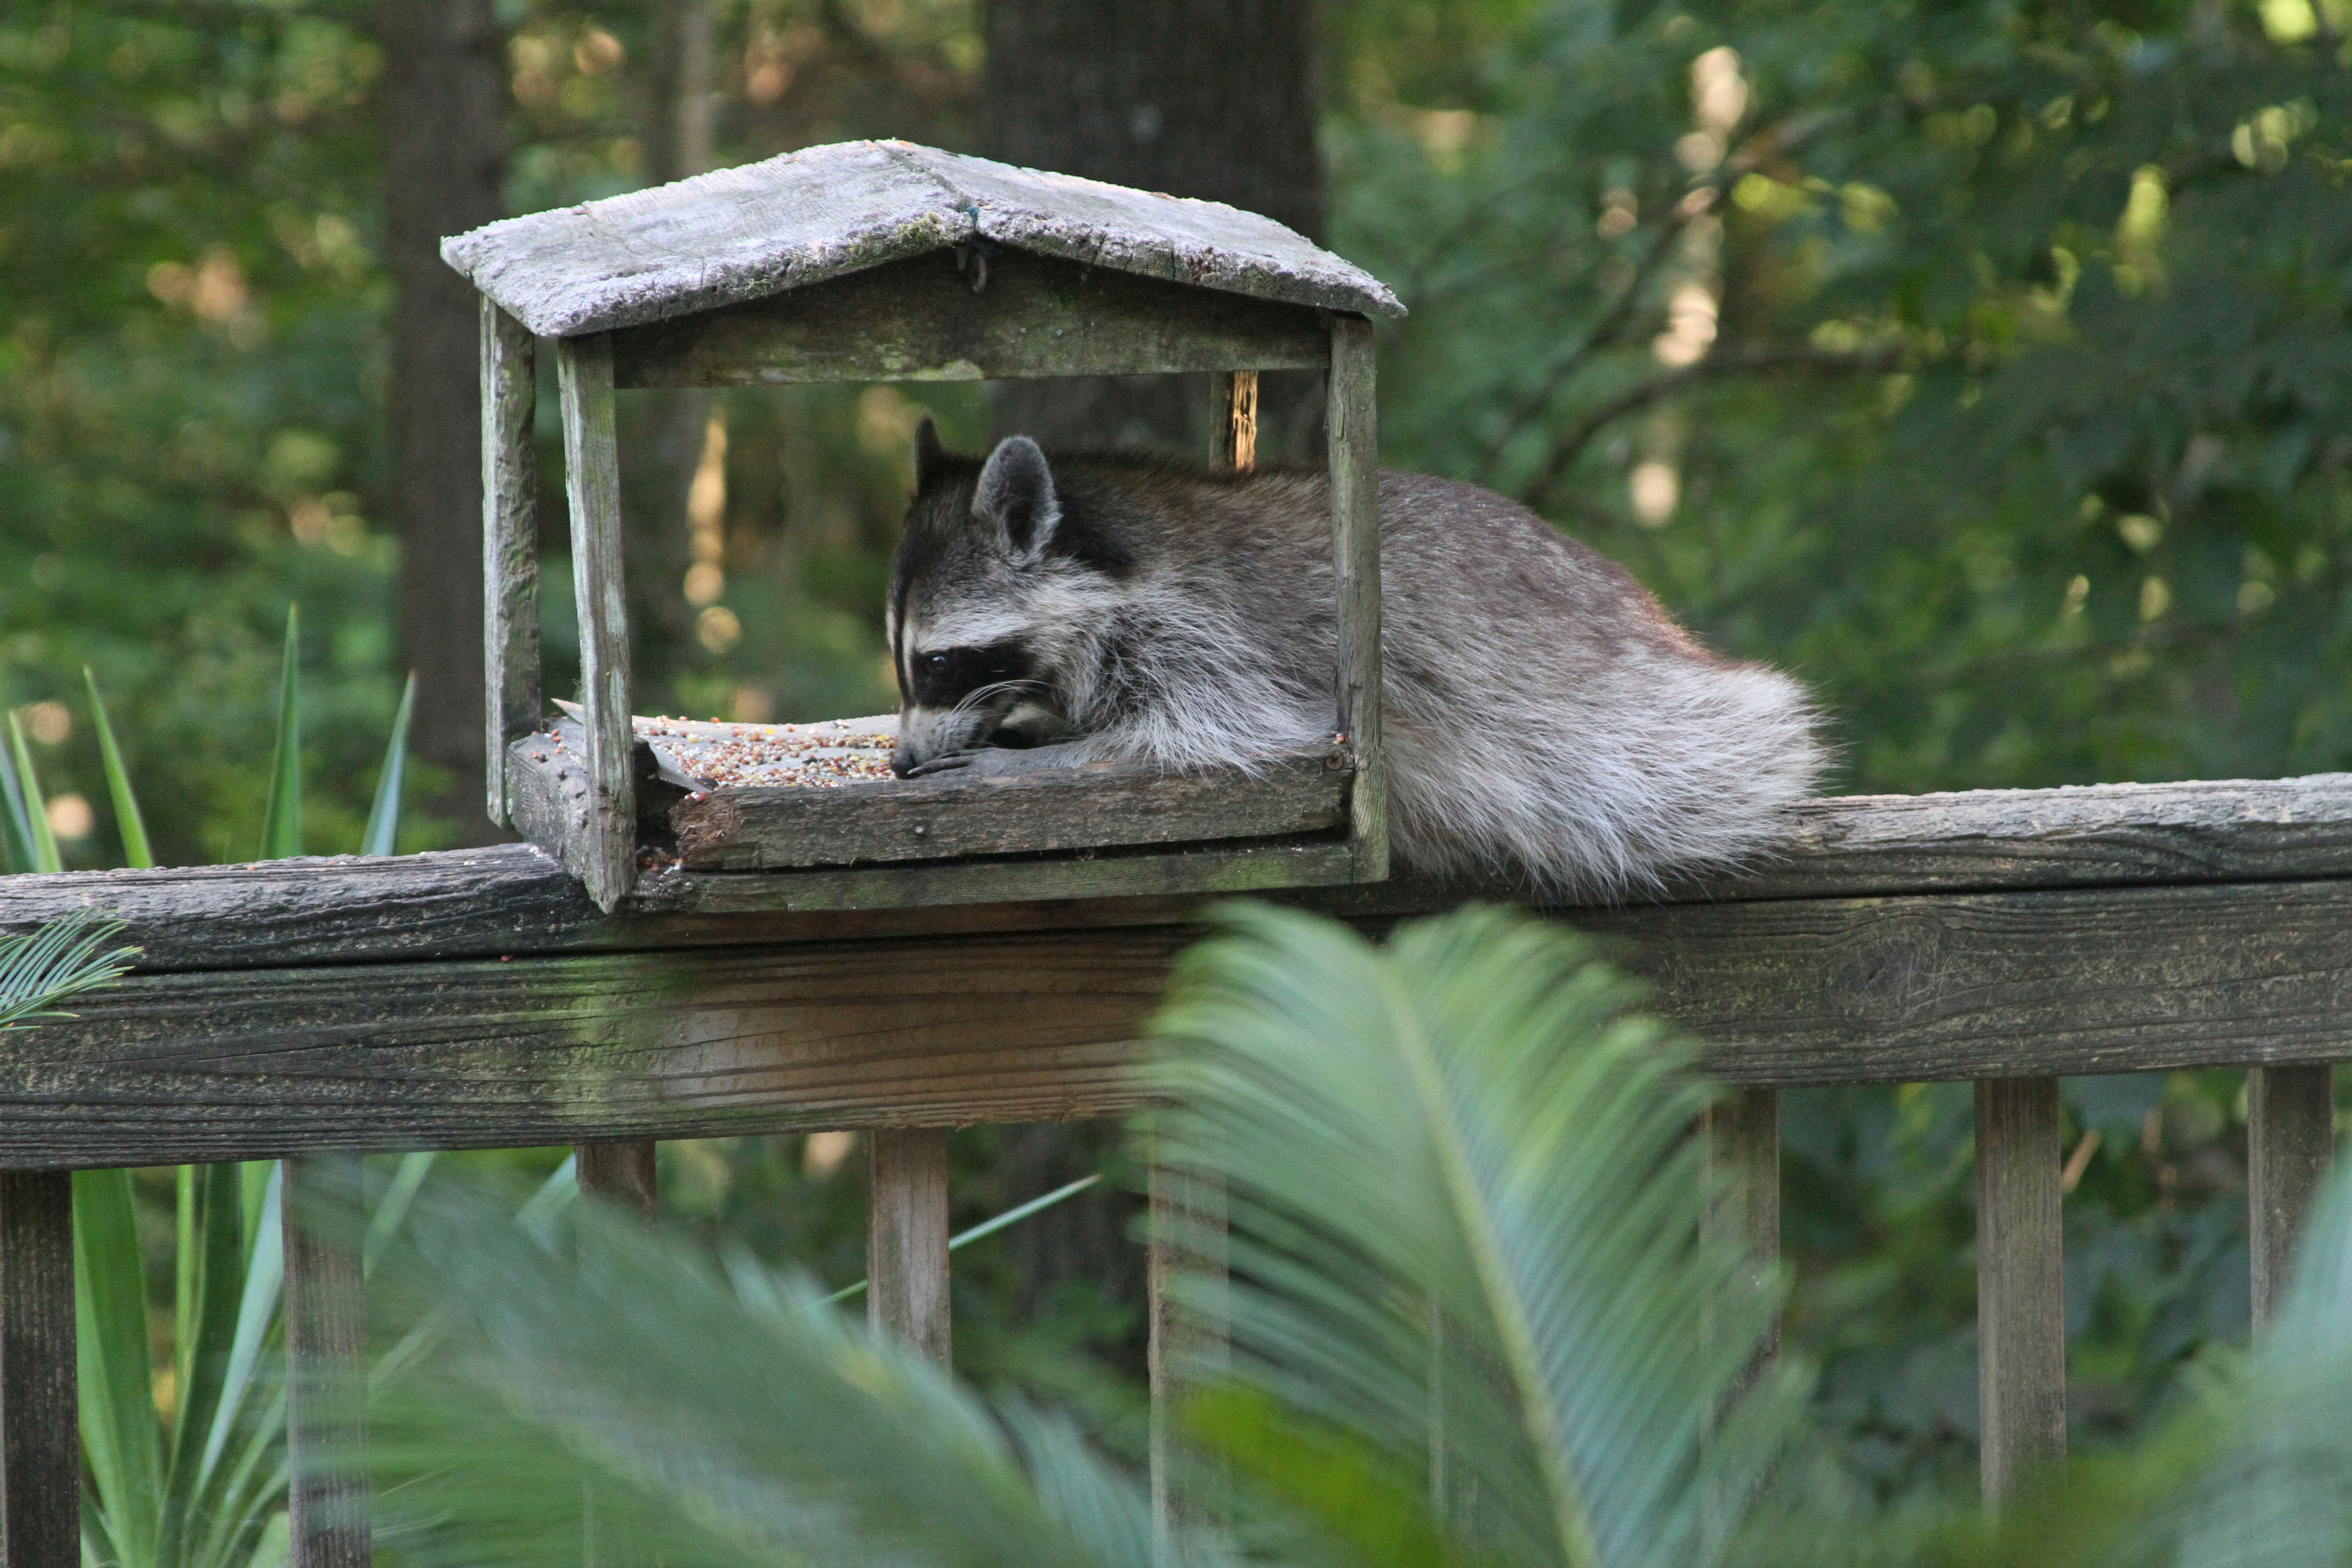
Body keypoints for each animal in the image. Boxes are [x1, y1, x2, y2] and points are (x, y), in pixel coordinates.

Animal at [889, 423, 1825, 902]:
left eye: (934, 664)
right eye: (905, 668)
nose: (897, 763)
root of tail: (1656, 619)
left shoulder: (1210, 641)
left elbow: (1192, 746)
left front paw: (1029, 761)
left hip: (1640, 722)